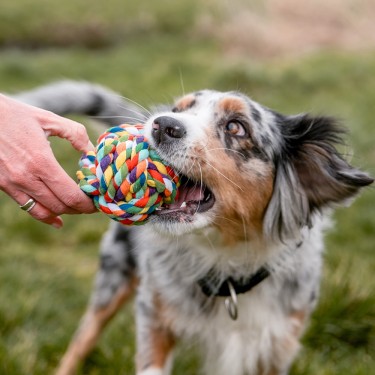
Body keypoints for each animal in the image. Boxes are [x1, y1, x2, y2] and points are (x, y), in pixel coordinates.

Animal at [16, 81, 374, 375]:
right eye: (179, 111)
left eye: (236, 126)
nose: (162, 124)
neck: (226, 262)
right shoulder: (154, 316)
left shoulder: (278, 344)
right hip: (113, 278)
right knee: (81, 341)